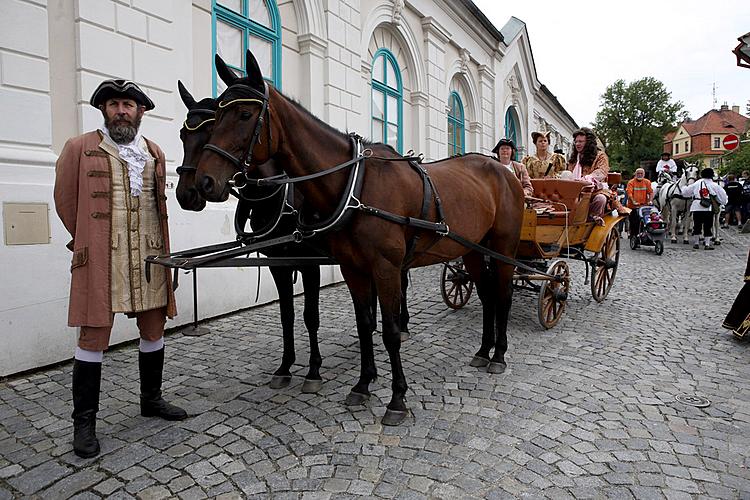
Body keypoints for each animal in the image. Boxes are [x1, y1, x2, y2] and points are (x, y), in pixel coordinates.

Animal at [195, 51, 524, 426]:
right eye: (217, 115)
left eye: (245, 115)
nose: (205, 182)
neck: (356, 185)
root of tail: (503, 170)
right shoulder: (353, 268)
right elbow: (365, 323)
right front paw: (363, 384)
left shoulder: (385, 268)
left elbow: (391, 331)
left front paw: (397, 398)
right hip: (471, 249)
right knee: (487, 296)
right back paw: (484, 350)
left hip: (502, 248)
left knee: (502, 296)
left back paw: (499, 354)